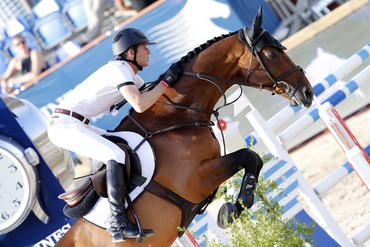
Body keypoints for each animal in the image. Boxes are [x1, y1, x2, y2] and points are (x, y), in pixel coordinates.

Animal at [56, 7, 314, 247]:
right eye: (271, 54)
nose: (307, 92)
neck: (175, 118)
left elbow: (254, 158)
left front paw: (234, 208)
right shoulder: (198, 180)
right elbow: (248, 156)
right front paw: (232, 210)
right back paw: (124, 229)